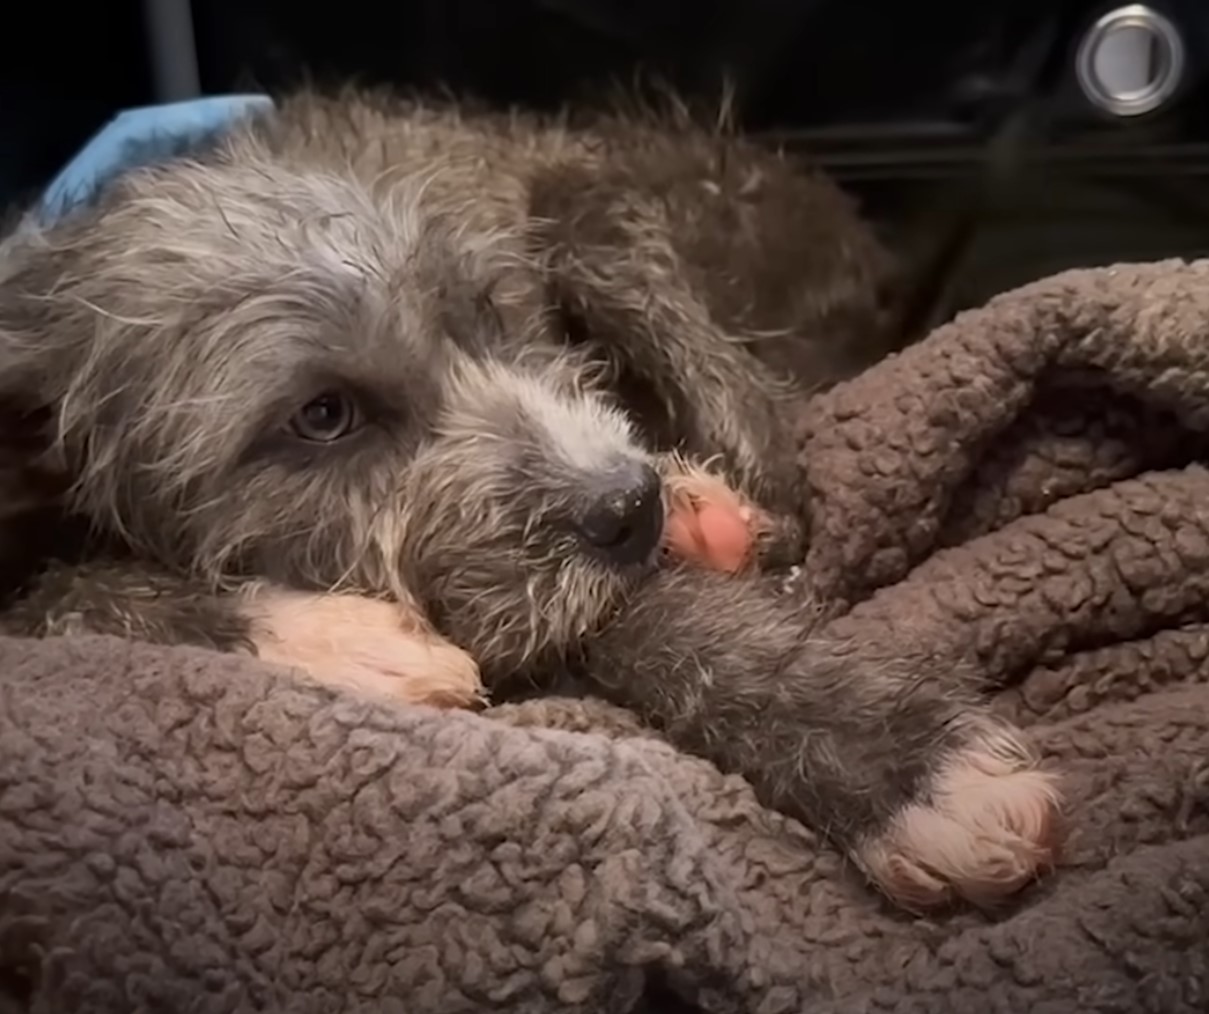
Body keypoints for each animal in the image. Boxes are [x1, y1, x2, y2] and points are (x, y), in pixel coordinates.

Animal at [0, 89, 1059, 913]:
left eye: (495, 313)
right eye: (323, 414)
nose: (631, 506)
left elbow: (648, 613)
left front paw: (902, 765)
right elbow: (56, 598)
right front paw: (327, 639)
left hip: (602, 207)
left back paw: (708, 500)